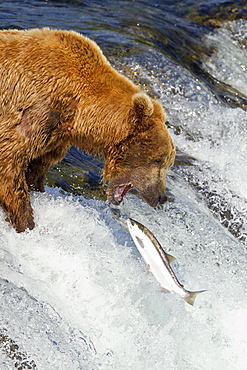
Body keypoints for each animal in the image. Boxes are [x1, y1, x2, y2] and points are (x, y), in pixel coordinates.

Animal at [0, 28, 176, 231]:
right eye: (158, 160)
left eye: (168, 163)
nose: (162, 197)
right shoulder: (36, 110)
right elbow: (9, 161)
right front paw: (27, 224)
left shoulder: (53, 138)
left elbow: (35, 171)